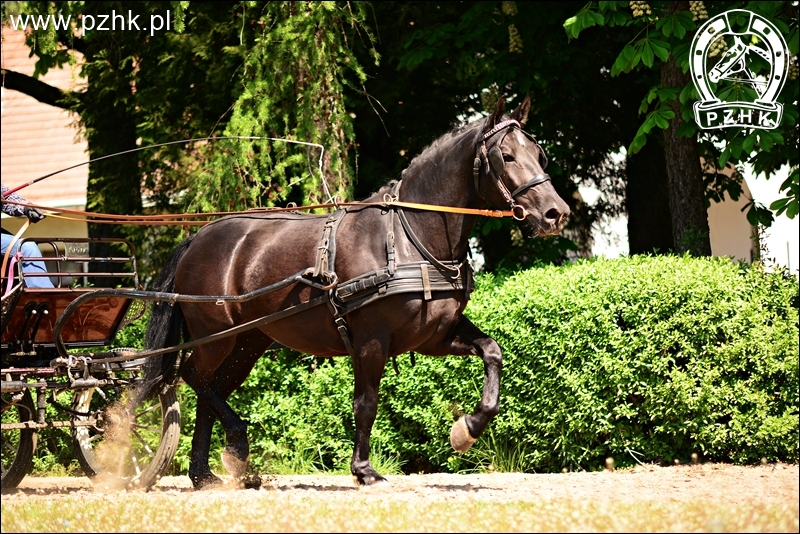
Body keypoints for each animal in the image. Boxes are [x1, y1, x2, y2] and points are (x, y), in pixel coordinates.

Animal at [141, 96, 572, 490]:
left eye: (539, 155)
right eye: (506, 156)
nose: (556, 213)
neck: (409, 237)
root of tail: (198, 237)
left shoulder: (434, 336)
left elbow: (492, 352)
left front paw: (467, 428)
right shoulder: (371, 339)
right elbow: (366, 404)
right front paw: (364, 470)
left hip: (247, 343)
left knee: (209, 389)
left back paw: (204, 474)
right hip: (216, 336)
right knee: (193, 377)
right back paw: (235, 445)